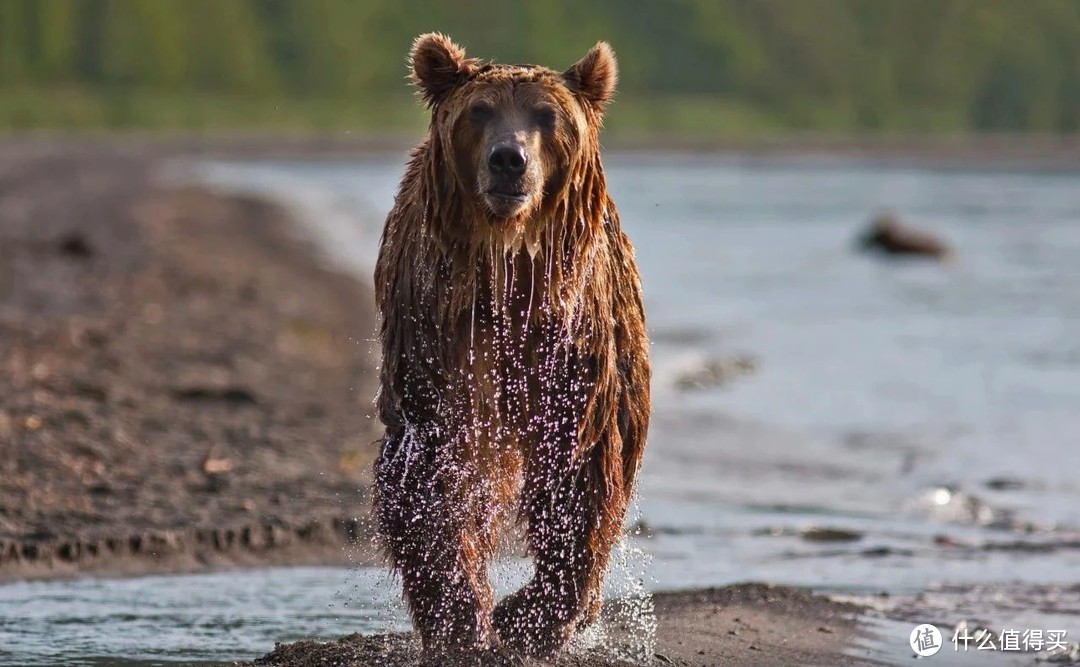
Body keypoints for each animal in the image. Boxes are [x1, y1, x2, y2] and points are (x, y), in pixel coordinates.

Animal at [375, 33, 648, 656]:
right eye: (480, 110)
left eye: (547, 116)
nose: (508, 159)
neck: (506, 269)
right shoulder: (441, 337)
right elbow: (434, 476)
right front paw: (460, 619)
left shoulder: (573, 345)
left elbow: (578, 470)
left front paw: (528, 618)